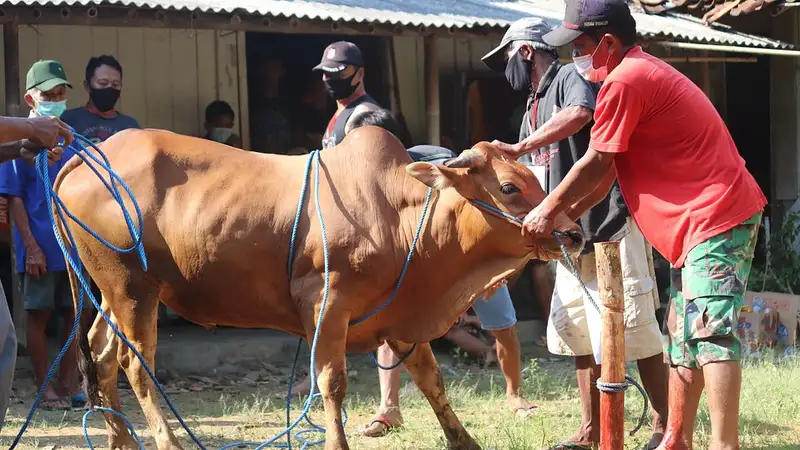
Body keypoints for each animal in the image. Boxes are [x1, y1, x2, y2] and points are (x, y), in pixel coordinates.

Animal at [54, 126, 580, 450]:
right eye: (509, 187)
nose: (573, 233)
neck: (400, 216)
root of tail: (89, 153)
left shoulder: (399, 319)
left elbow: (432, 381)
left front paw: (463, 439)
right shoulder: (328, 304)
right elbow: (332, 380)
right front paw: (336, 440)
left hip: (115, 292)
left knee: (101, 356)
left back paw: (121, 439)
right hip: (131, 287)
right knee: (134, 365)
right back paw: (166, 441)